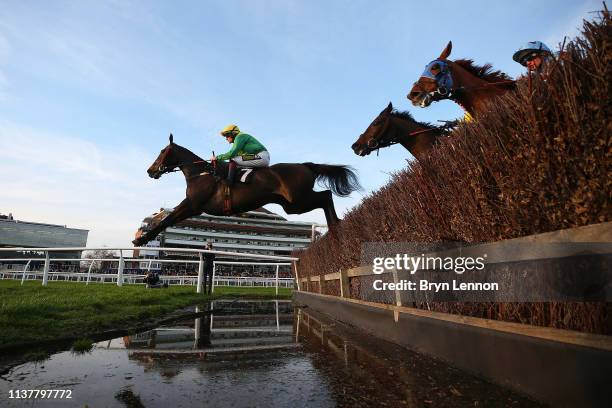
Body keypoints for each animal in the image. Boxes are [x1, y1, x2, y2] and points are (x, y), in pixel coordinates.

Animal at [133, 135, 358, 247]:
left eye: (162, 152)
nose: (150, 170)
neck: (200, 173)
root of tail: (305, 165)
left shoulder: (193, 205)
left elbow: (167, 219)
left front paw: (142, 238)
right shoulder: (193, 207)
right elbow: (168, 219)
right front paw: (143, 237)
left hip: (297, 201)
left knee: (326, 196)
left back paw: (336, 226)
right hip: (291, 205)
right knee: (325, 197)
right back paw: (336, 227)